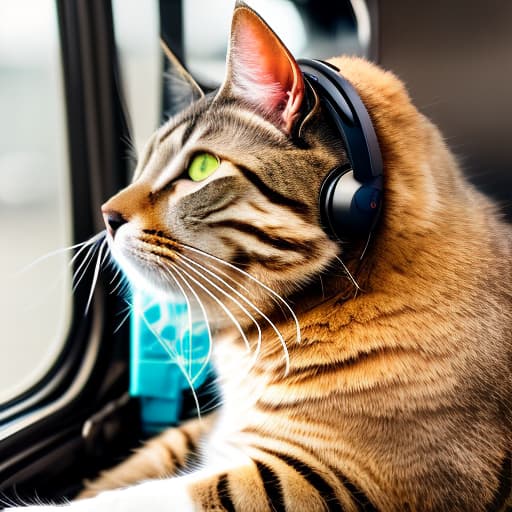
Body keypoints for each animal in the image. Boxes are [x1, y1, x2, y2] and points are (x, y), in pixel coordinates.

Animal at [13, 3, 512, 512]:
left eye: (201, 168)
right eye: (141, 164)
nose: (106, 214)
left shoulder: (343, 478)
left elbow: (160, 495)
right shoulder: (209, 431)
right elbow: (149, 456)